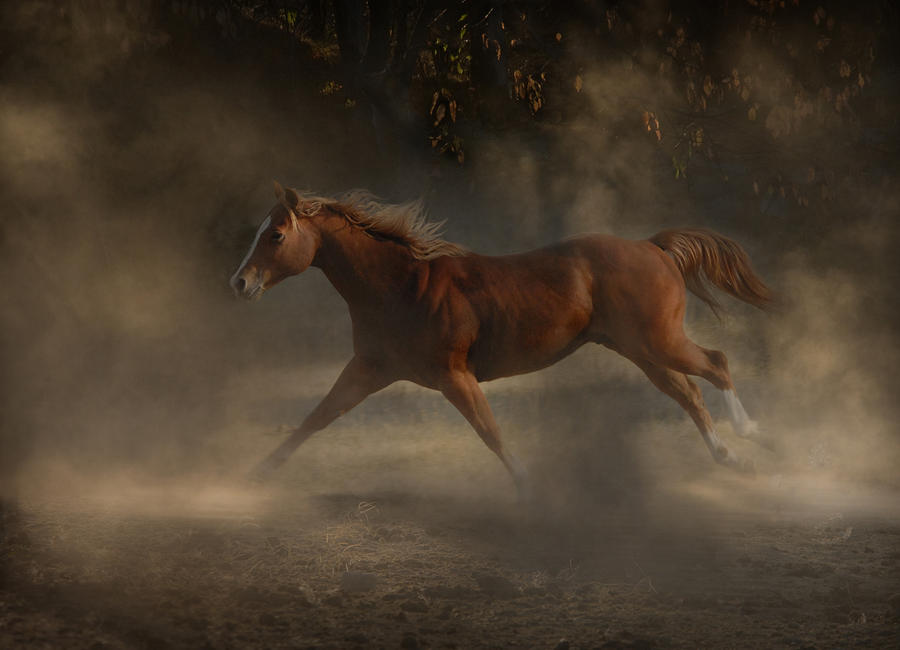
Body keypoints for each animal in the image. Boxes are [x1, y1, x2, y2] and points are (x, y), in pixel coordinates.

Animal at [232, 182, 772, 492]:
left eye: (276, 235)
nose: (239, 282)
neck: (400, 287)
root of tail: (652, 246)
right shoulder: (368, 370)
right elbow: (316, 418)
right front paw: (257, 473)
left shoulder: (453, 375)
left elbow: (488, 430)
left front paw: (528, 484)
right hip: (641, 351)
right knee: (689, 392)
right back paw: (732, 456)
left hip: (657, 343)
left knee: (717, 364)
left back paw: (749, 433)